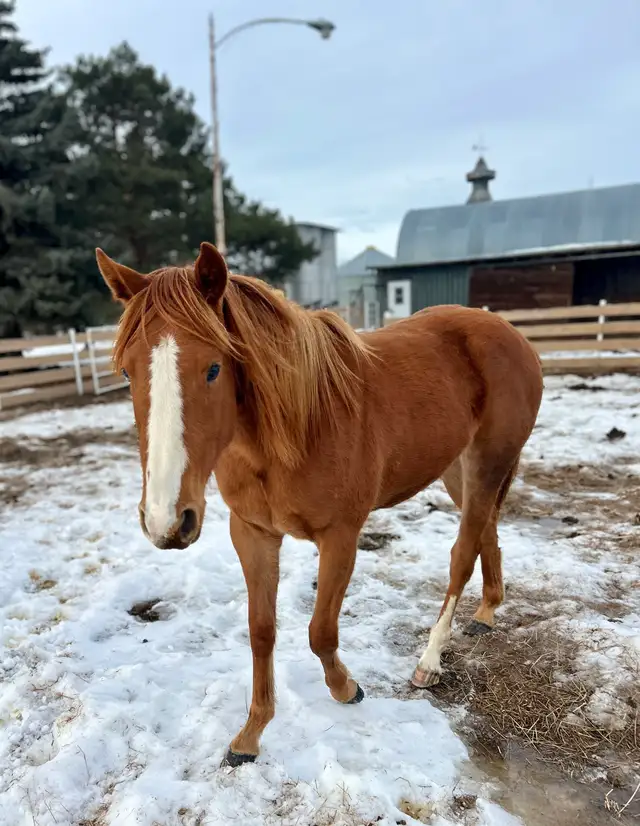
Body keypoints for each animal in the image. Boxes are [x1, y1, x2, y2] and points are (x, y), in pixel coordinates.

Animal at [96, 241, 543, 767]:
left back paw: (430, 661)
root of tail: (508, 333)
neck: (296, 427)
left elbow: (320, 631)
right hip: (462, 471)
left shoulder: (340, 537)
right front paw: (251, 734)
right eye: (127, 372)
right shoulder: (252, 533)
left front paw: (345, 688)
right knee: (486, 531)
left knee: (462, 555)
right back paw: (486, 612)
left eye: (213, 368)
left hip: (488, 464)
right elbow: (261, 630)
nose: (165, 520)